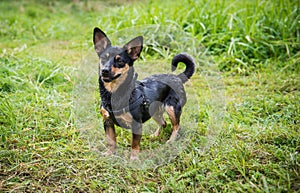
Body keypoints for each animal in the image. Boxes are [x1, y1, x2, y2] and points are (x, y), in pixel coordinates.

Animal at [92, 27, 196, 160]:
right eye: (103, 59)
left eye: (120, 61)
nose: (104, 70)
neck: (113, 93)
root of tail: (177, 77)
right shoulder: (108, 121)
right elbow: (111, 141)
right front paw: (109, 154)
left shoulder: (136, 125)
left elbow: (135, 145)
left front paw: (133, 159)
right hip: (154, 111)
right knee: (163, 123)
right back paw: (155, 135)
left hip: (172, 109)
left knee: (176, 126)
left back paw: (170, 141)